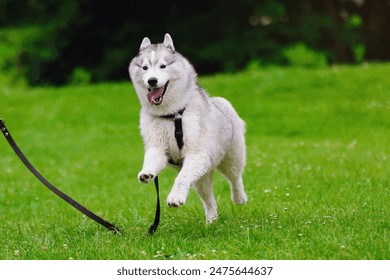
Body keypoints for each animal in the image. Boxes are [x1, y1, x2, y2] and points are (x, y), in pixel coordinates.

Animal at [130, 34, 247, 224]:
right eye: (145, 67)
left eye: (163, 66)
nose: (152, 81)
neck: (172, 115)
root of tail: (218, 101)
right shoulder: (158, 146)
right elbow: (152, 158)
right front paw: (147, 172)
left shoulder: (196, 154)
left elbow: (181, 177)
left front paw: (175, 197)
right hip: (202, 175)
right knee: (209, 200)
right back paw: (211, 221)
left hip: (231, 157)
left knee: (235, 177)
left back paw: (239, 198)